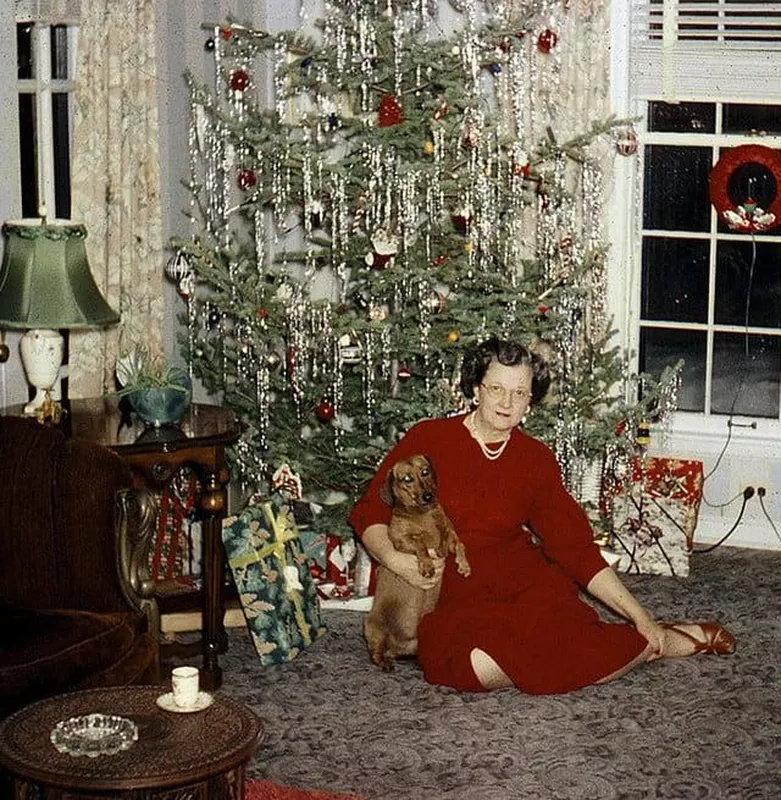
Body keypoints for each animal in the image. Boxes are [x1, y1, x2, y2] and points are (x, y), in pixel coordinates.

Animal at [362, 454, 466, 672]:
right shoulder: (400, 541)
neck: (423, 513)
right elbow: (419, 544)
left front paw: (464, 565)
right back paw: (383, 662)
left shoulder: (450, 536)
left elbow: (458, 543)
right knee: (376, 652)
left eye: (425, 472)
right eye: (407, 479)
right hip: (371, 626)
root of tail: (394, 646)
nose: (428, 496)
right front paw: (427, 565)